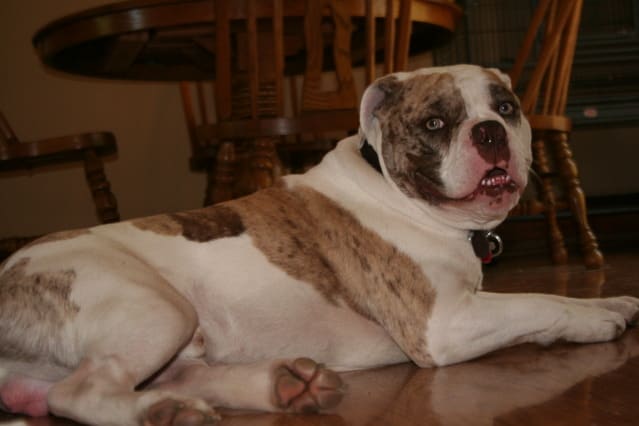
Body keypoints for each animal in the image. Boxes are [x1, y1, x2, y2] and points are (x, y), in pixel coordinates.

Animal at [1, 64, 639, 426]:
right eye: (435, 124)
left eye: (507, 108)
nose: (490, 132)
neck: (396, 190)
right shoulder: (443, 324)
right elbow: (539, 302)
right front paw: (592, 322)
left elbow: (549, 295)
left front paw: (614, 302)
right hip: (157, 307)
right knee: (79, 394)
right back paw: (162, 412)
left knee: (164, 376)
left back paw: (282, 386)